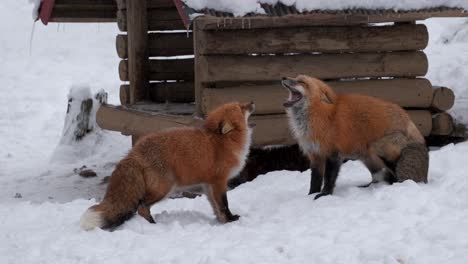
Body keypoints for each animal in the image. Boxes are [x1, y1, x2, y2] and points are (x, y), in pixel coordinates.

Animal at [80, 102, 256, 230]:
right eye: (241, 108)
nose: (252, 102)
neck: (223, 141)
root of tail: (134, 152)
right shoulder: (219, 181)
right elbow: (224, 205)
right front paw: (230, 220)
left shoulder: (208, 185)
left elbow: (216, 207)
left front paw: (220, 222)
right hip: (164, 189)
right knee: (141, 207)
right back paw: (153, 225)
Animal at [282, 74, 428, 198]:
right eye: (295, 77)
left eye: (302, 82)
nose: (283, 77)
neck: (321, 115)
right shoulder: (315, 154)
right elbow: (315, 180)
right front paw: (310, 196)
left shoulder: (333, 153)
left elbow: (329, 178)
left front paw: (324, 195)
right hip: (366, 157)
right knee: (382, 176)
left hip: (376, 148)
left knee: (395, 173)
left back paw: (399, 185)